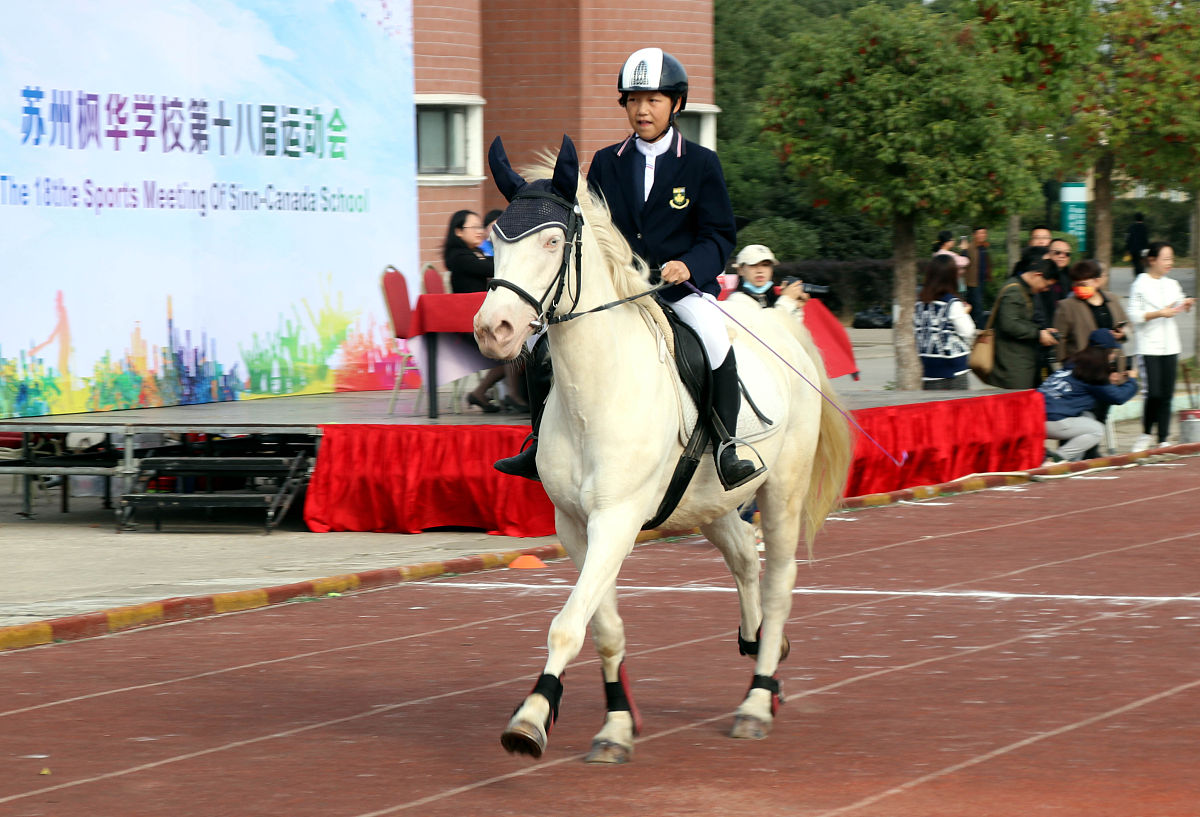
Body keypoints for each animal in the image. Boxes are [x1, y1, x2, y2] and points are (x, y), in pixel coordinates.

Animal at [473, 135, 853, 763]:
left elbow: (568, 624)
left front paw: (529, 719)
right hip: (709, 501)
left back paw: (758, 697)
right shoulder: (575, 524)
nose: (493, 329)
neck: (595, 389)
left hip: (782, 492)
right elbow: (603, 628)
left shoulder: (617, 519)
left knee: (778, 580)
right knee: (744, 557)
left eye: (552, 241)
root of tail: (779, 321)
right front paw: (615, 725)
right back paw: (757, 647)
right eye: (496, 244)